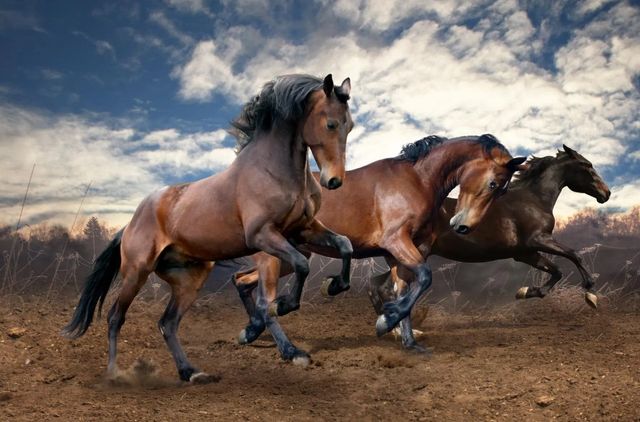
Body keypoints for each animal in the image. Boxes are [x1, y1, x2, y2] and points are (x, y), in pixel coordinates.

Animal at [62, 74, 354, 382]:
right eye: (330, 124)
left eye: (350, 126)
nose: (334, 181)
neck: (273, 170)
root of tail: (129, 224)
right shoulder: (263, 235)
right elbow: (300, 266)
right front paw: (284, 308)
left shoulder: (303, 229)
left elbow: (344, 244)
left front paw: (334, 285)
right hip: (136, 273)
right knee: (115, 317)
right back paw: (115, 373)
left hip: (190, 279)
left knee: (167, 323)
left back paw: (190, 372)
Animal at [232, 134, 527, 358]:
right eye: (493, 183)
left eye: (501, 190)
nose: (463, 226)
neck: (417, 180)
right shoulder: (396, 242)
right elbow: (424, 277)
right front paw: (387, 321)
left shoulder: (400, 253)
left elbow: (405, 289)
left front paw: (409, 341)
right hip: (273, 258)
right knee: (265, 301)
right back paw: (289, 350)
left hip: (290, 256)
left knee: (242, 280)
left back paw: (251, 331)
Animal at [368, 145, 611, 349]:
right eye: (587, 165)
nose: (606, 193)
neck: (533, 200)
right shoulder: (538, 240)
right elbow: (574, 255)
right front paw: (591, 295)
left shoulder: (525, 253)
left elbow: (557, 271)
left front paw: (525, 292)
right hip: (417, 254)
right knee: (388, 288)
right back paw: (400, 331)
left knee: (376, 285)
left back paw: (394, 329)